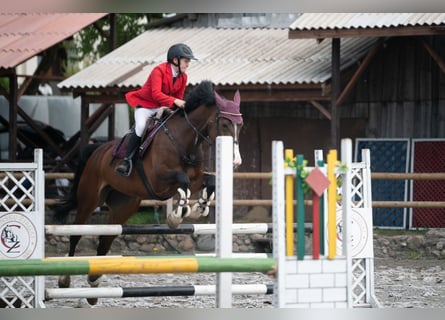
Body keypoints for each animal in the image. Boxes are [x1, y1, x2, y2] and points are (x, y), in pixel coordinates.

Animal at [53, 80, 245, 302]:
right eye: (224, 124)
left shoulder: (196, 179)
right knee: (76, 234)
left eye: (240, 125)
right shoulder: (159, 180)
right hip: (89, 199)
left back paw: (94, 285)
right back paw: (64, 279)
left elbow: (209, 181)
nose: (236, 162)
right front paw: (177, 216)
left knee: (105, 240)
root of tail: (96, 151)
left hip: (124, 206)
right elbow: (183, 180)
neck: (184, 141)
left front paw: (199, 208)